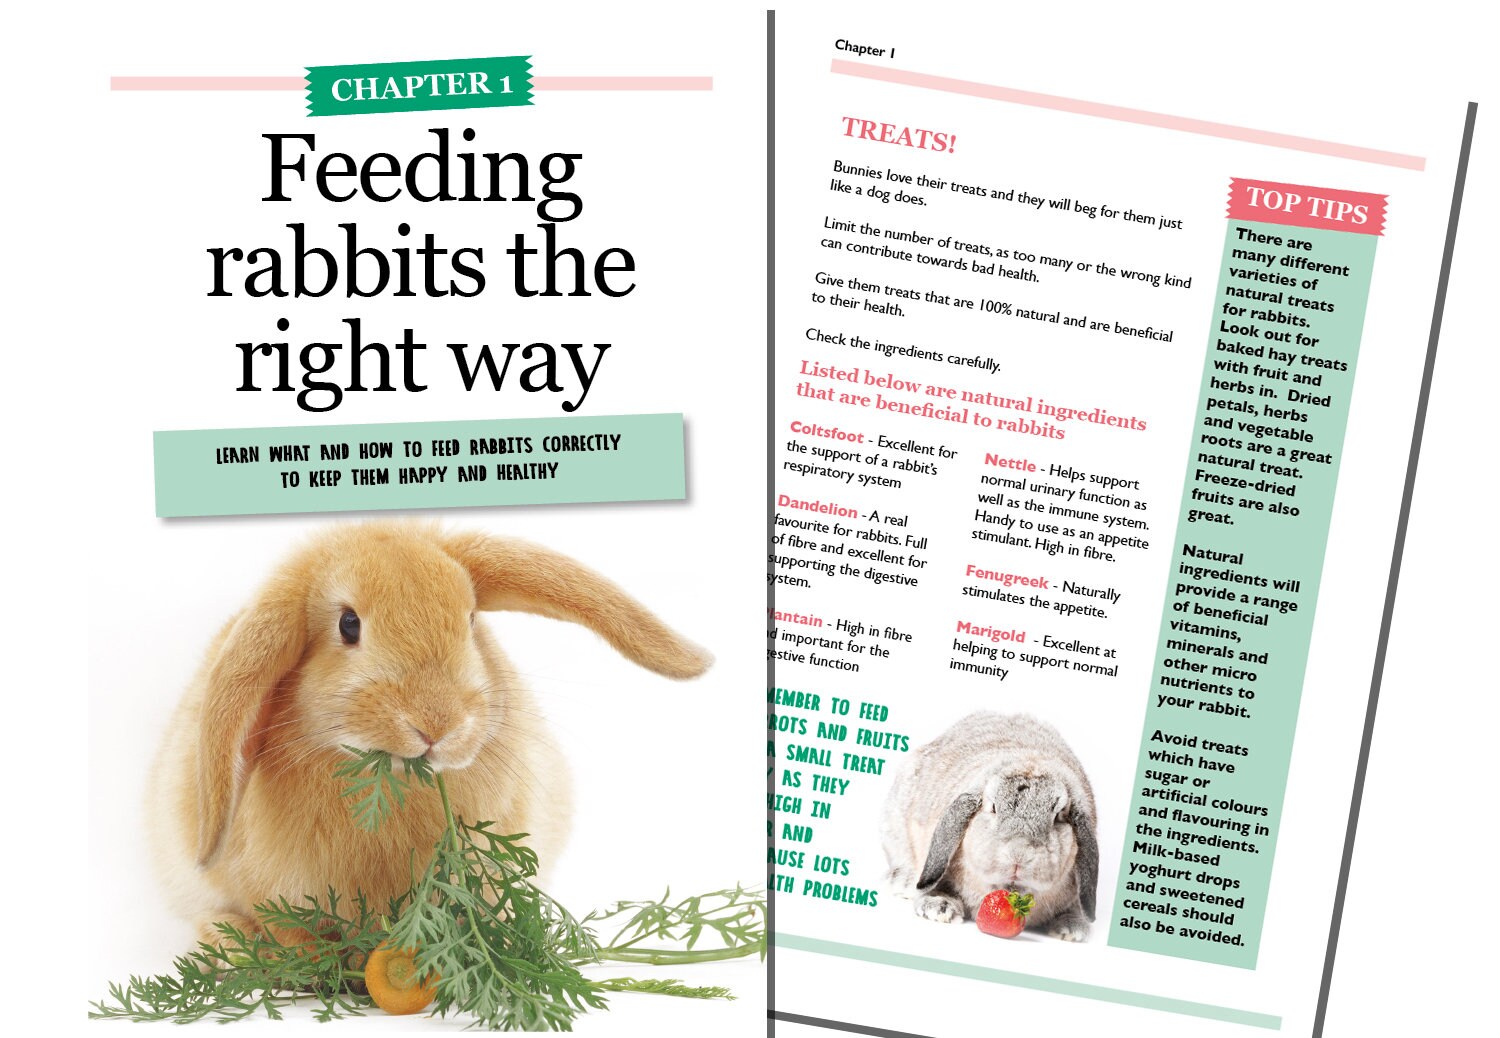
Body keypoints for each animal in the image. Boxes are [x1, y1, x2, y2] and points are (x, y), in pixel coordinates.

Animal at [880, 711, 1098, 941]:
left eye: (1057, 816)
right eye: (993, 807)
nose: (1018, 855)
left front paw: (1071, 929)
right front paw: (939, 907)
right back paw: (903, 881)